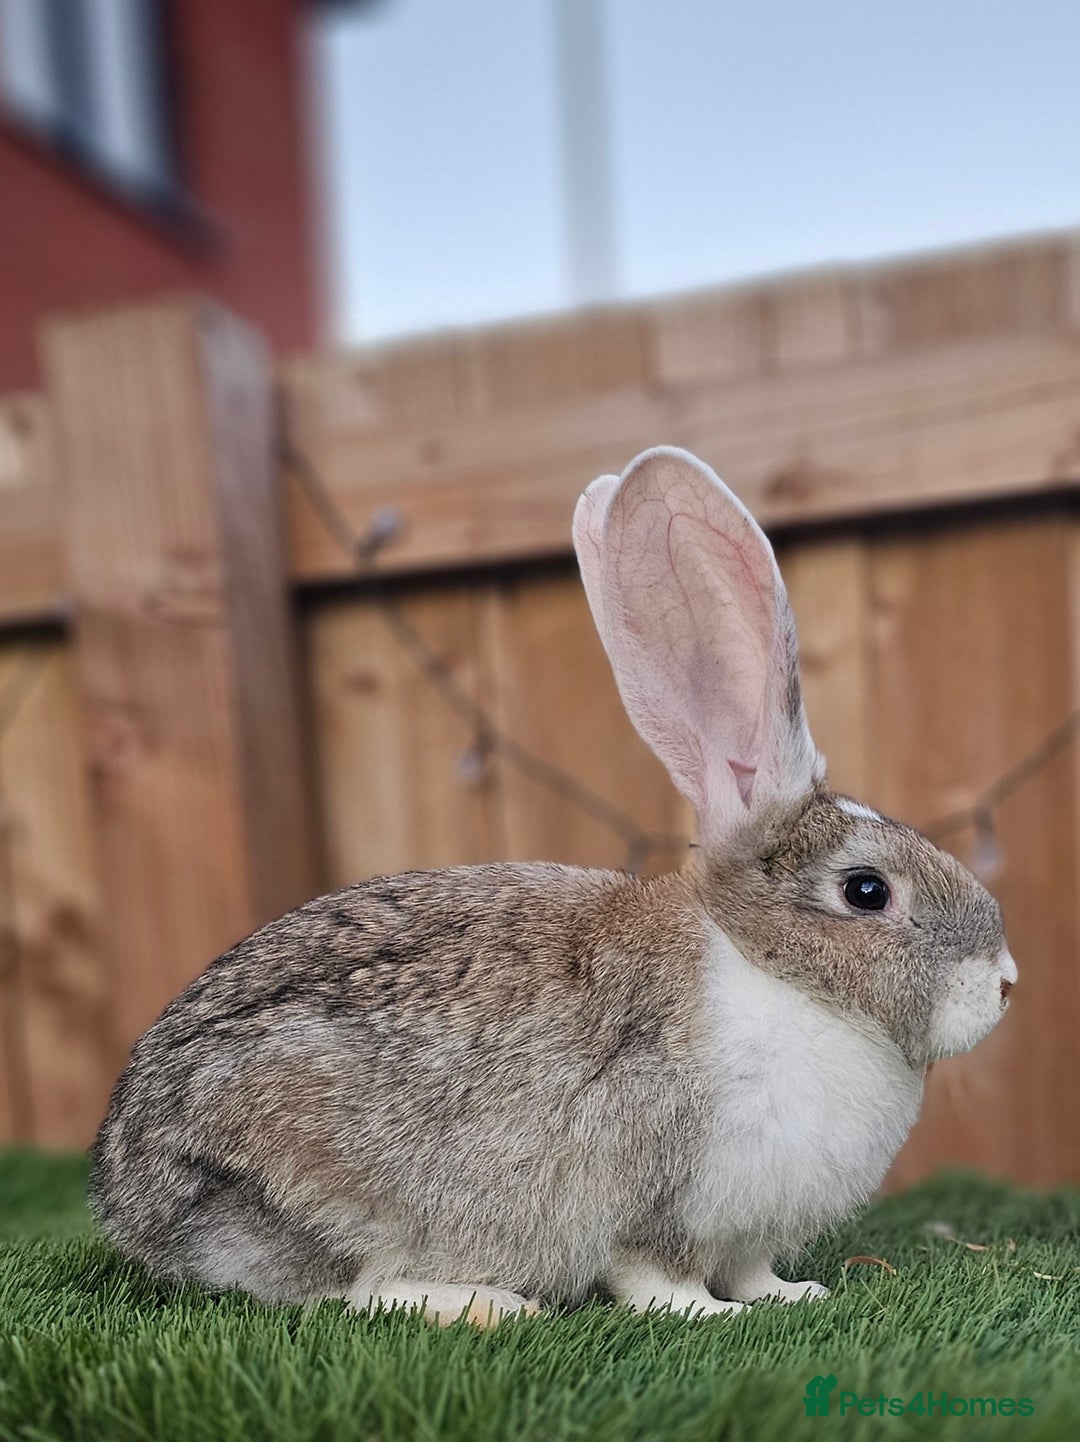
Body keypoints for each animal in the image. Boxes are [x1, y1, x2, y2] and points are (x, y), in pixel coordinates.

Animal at [90, 446, 1017, 1328]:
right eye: (867, 892)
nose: (1006, 983)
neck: (772, 972)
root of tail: (125, 1202)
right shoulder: (652, 1189)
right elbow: (654, 1275)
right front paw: (706, 1315)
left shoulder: (745, 1230)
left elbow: (755, 1270)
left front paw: (795, 1296)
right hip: (320, 1184)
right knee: (343, 1292)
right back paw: (484, 1307)